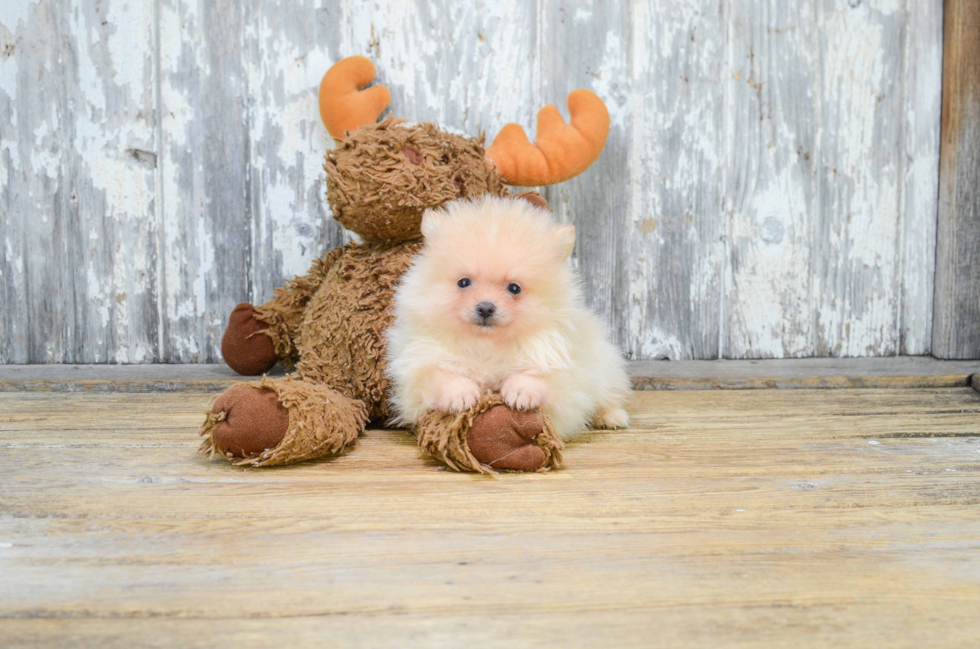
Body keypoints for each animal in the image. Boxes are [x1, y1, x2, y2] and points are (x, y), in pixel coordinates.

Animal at [382, 195, 628, 438]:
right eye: (464, 282)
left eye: (514, 288)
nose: (485, 308)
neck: (486, 345)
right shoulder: (418, 368)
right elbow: (439, 375)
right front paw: (460, 393)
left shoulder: (563, 372)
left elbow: (541, 378)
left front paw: (520, 390)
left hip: (605, 365)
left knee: (609, 396)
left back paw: (612, 417)